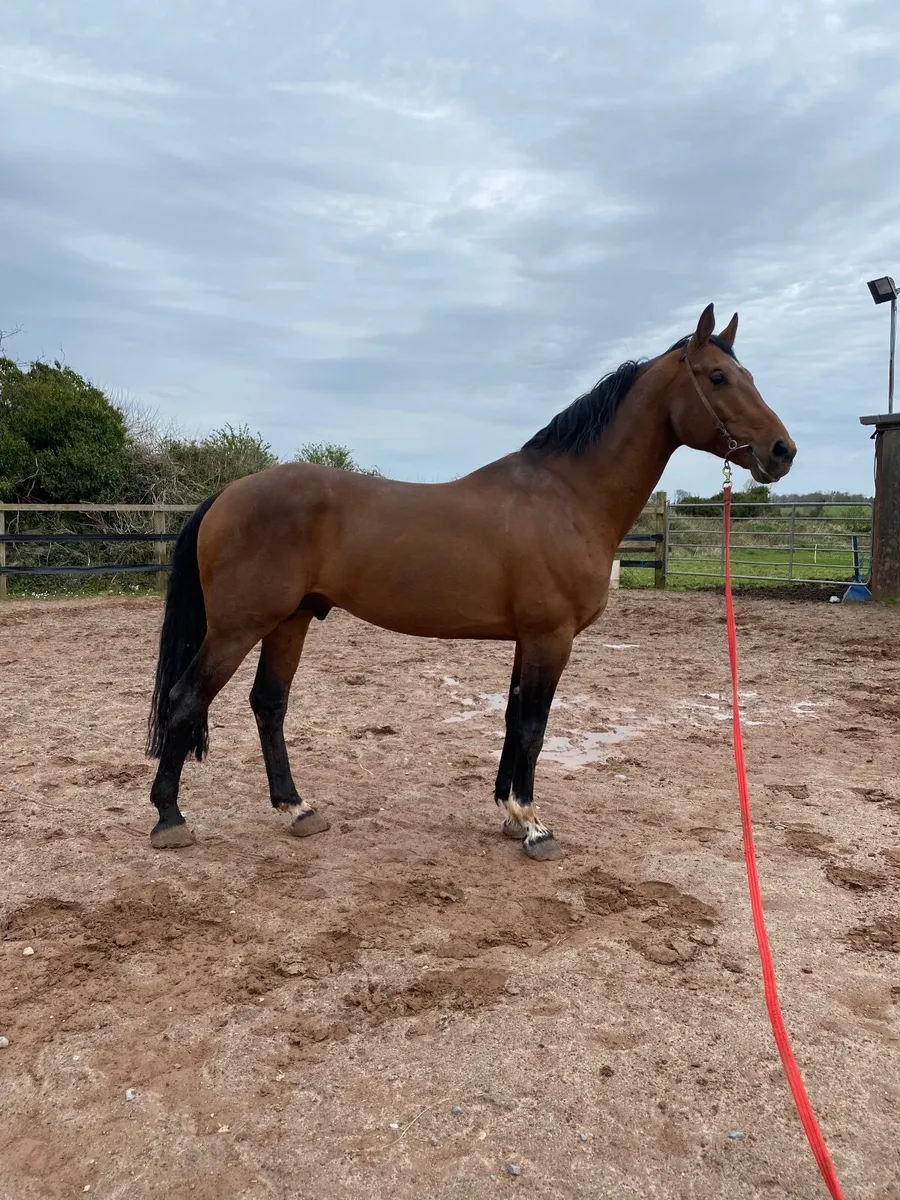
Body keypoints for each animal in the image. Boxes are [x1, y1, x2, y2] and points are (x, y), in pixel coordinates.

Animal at [145, 303, 795, 860]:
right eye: (718, 377)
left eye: (748, 374)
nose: (781, 451)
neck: (568, 496)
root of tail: (228, 494)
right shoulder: (550, 637)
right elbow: (532, 725)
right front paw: (533, 826)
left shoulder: (529, 639)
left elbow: (512, 717)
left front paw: (508, 813)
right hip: (240, 626)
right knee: (186, 698)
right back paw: (170, 819)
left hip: (291, 620)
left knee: (268, 704)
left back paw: (296, 809)